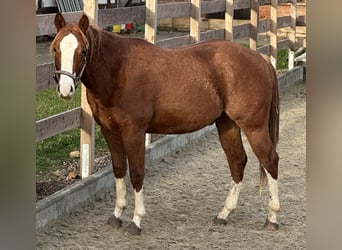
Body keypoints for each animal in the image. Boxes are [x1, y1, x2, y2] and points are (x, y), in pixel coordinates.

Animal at [51, 12, 280, 235]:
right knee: (237, 162)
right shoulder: (110, 132)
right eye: (55, 48)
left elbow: (137, 173)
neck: (118, 71)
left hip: (254, 127)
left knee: (270, 161)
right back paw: (224, 214)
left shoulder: (134, 132)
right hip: (227, 124)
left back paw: (272, 218)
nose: (65, 89)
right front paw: (116, 215)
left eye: (83, 51)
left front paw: (136, 220)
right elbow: (119, 170)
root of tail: (260, 59)